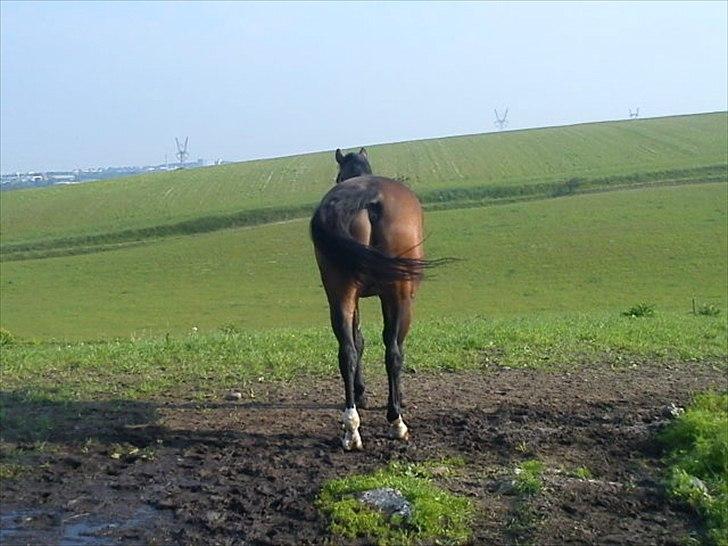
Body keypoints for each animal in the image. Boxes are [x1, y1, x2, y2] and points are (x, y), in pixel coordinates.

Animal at [308, 147, 436, 448]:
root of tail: (366, 197)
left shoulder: (353, 299)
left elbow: (359, 341)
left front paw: (361, 394)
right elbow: (394, 346)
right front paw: (397, 400)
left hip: (339, 293)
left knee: (346, 352)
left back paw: (351, 427)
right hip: (398, 294)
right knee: (393, 352)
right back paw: (396, 421)